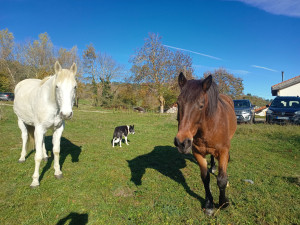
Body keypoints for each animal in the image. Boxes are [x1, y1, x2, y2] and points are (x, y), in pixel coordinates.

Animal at [173, 72, 237, 216]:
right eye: (178, 103)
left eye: (201, 105)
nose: (182, 143)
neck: (210, 126)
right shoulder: (198, 153)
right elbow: (205, 178)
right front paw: (209, 204)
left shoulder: (223, 151)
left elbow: (222, 179)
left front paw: (223, 203)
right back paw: (212, 166)